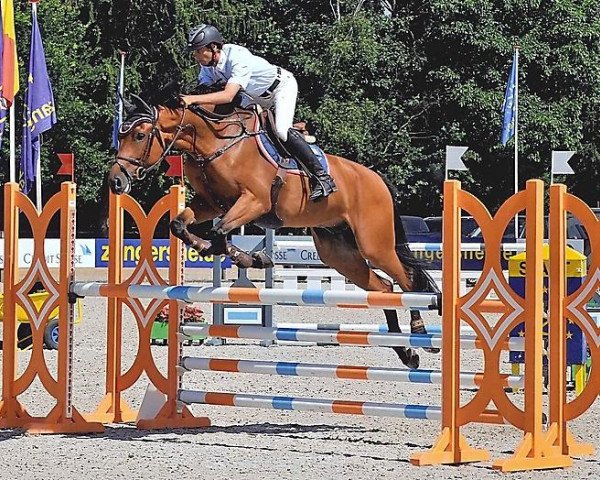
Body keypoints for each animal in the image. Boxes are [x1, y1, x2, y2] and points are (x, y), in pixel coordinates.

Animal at [109, 93, 436, 368]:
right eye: (121, 135)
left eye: (139, 135)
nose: (116, 181)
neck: (216, 144)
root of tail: (377, 178)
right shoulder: (210, 204)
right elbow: (182, 225)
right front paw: (236, 254)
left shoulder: (254, 201)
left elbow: (219, 232)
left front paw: (246, 257)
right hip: (339, 254)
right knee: (384, 288)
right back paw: (405, 352)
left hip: (374, 245)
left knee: (406, 279)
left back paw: (420, 334)